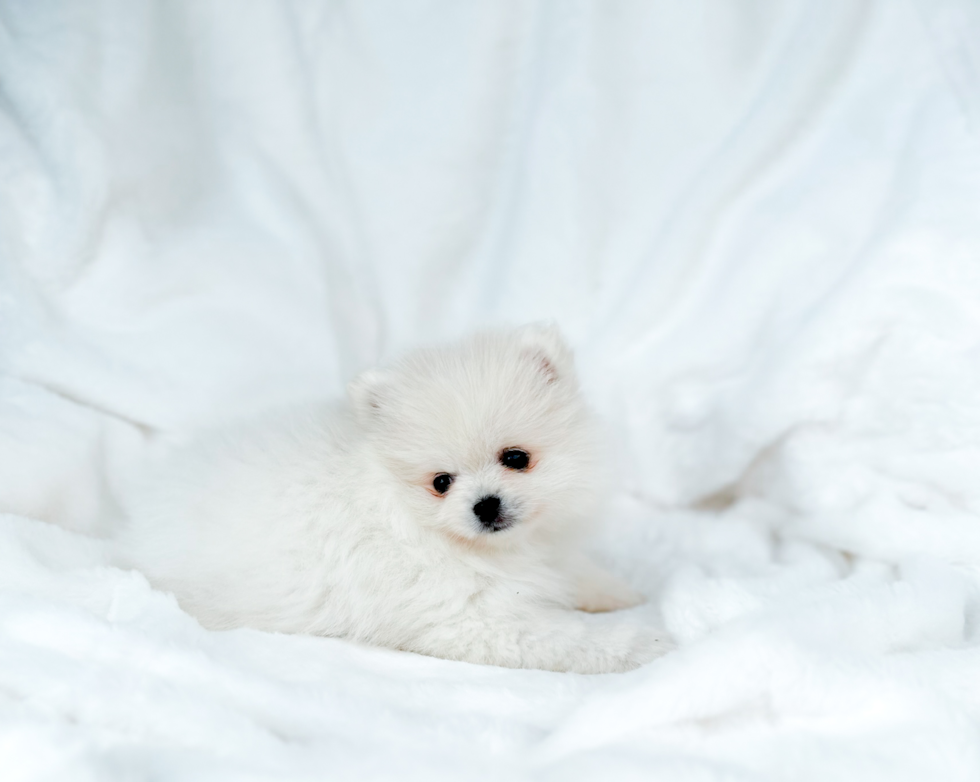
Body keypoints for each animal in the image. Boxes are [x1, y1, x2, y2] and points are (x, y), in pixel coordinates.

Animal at [113, 324, 668, 672]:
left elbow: (577, 570)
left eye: (516, 457)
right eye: (441, 482)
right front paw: (646, 643)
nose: (485, 504)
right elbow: (567, 639)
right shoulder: (467, 620)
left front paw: (619, 592)